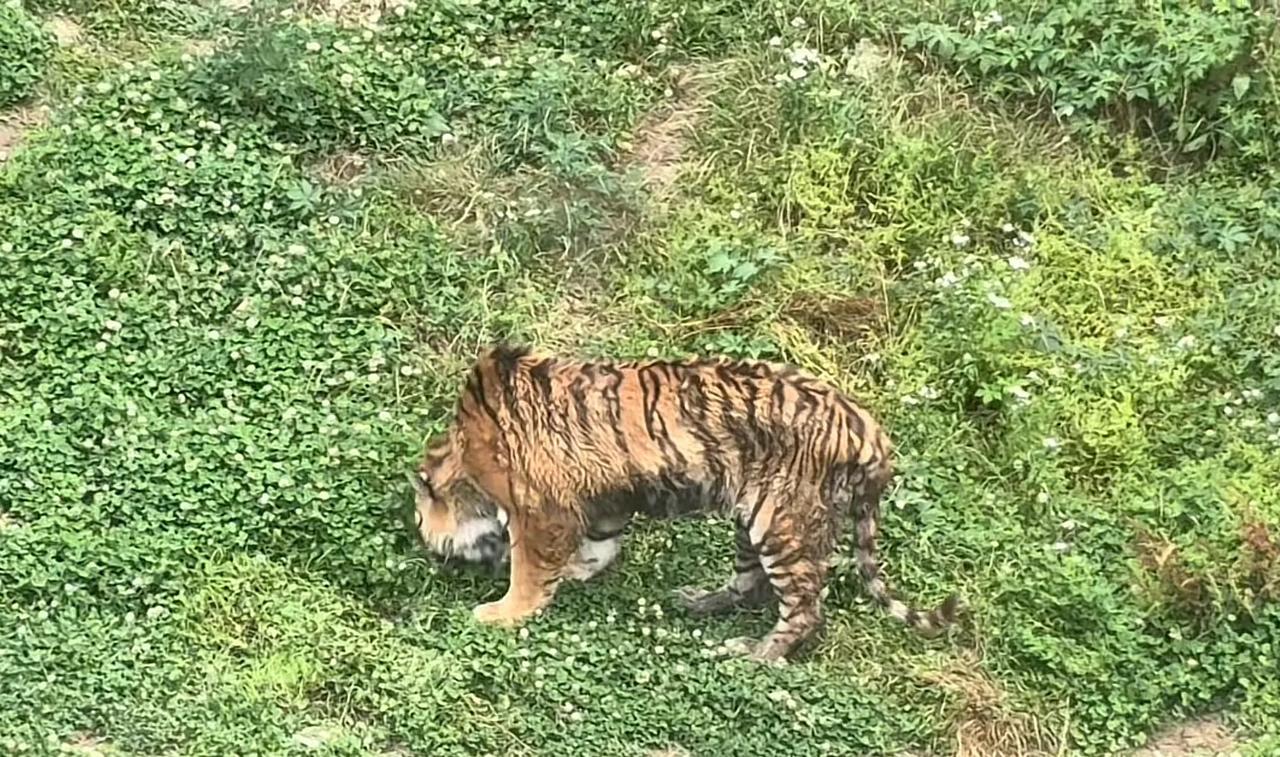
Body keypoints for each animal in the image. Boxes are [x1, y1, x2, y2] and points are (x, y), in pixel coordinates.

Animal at [407, 345, 958, 662]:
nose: (430, 550)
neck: (463, 458)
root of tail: (872, 434)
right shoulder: (603, 498)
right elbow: (601, 545)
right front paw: (578, 572)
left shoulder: (540, 508)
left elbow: (530, 569)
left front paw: (503, 612)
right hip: (752, 520)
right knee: (750, 584)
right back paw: (697, 602)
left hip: (784, 524)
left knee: (805, 609)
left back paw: (754, 654)